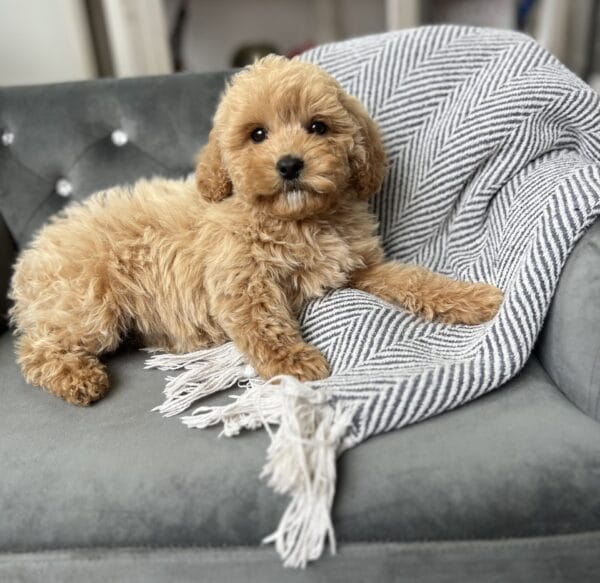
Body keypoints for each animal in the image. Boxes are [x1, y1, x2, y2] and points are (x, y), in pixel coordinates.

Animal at [9, 58, 504, 406]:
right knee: (37, 348)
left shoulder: (359, 268)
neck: (298, 220)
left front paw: (472, 298)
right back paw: (77, 378)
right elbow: (265, 323)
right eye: (258, 134)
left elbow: (412, 278)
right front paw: (295, 365)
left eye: (317, 127)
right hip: (87, 306)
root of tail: (34, 254)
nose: (289, 164)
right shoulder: (242, 280)